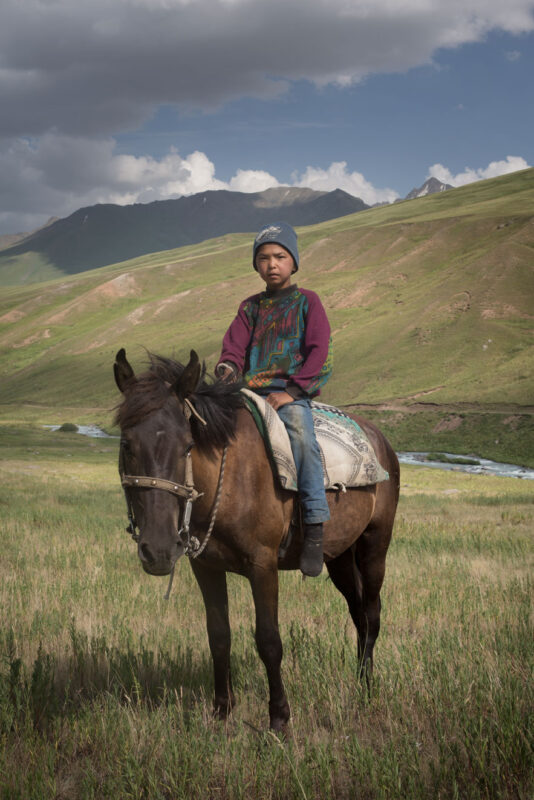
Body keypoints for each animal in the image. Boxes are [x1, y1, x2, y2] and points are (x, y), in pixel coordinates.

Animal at [116, 348, 402, 732]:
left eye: (188, 445)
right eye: (126, 444)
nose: (159, 551)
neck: (227, 483)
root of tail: (381, 442)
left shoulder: (262, 566)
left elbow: (268, 640)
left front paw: (279, 718)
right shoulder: (205, 567)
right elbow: (219, 636)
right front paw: (222, 711)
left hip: (374, 547)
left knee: (371, 615)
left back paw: (367, 693)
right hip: (340, 557)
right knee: (358, 613)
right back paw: (358, 682)